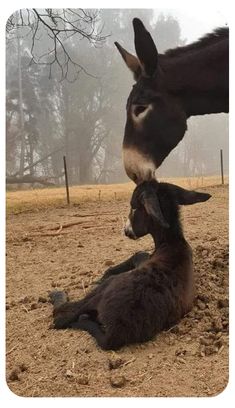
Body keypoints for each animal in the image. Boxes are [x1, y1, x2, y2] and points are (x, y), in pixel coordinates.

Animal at [49, 180, 211, 350]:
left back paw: (59, 296)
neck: (172, 243)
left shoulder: (143, 260)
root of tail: (115, 332)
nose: (126, 231)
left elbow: (138, 253)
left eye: (133, 207)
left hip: (105, 289)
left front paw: (105, 273)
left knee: (61, 316)